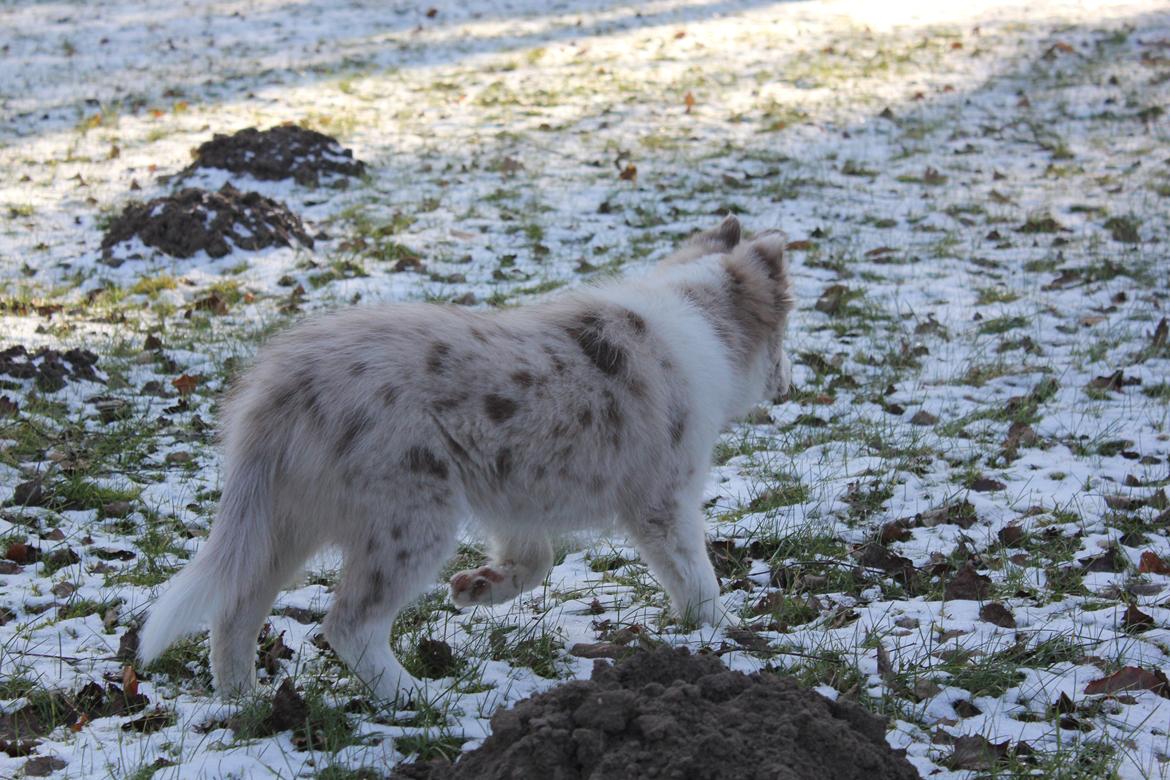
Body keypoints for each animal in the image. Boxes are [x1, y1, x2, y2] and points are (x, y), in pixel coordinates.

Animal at [136, 216, 795, 706]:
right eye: (784, 338)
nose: (791, 384)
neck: (702, 321)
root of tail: (286, 383)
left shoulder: (518, 494)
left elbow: (535, 561)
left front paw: (480, 588)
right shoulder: (665, 501)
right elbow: (697, 577)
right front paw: (718, 634)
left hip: (283, 522)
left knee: (235, 611)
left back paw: (241, 702)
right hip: (408, 520)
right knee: (348, 624)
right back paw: (416, 698)